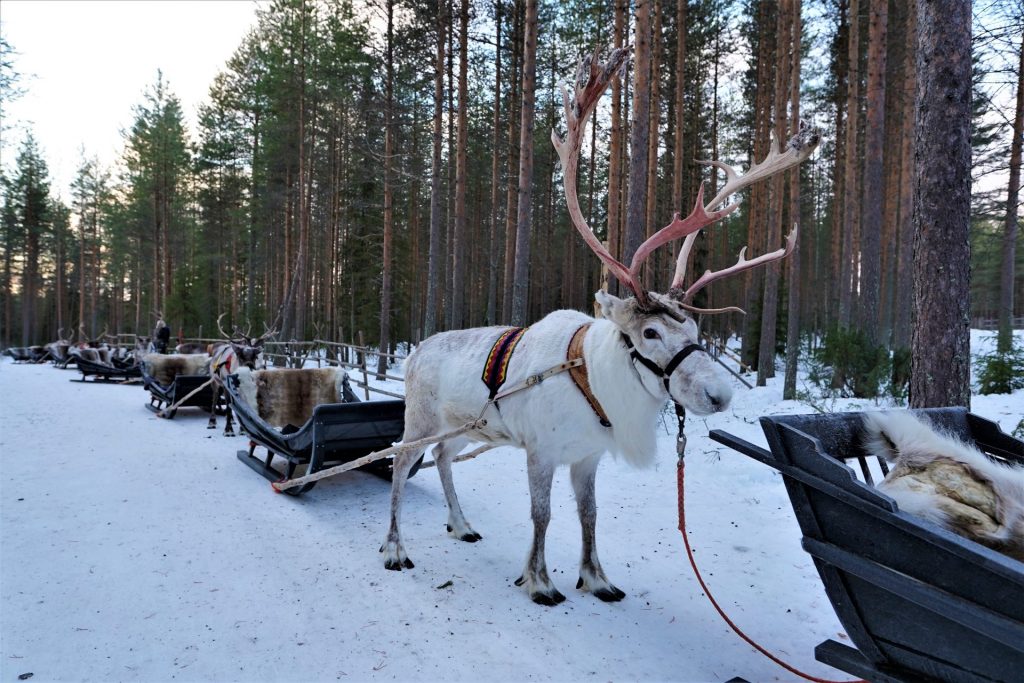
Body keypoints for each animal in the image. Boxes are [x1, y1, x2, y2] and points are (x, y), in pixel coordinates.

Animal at [382, 48, 819, 605]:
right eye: (651, 334)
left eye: (696, 335)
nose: (720, 395)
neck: (591, 382)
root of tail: (415, 351)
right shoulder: (541, 451)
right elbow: (542, 515)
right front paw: (540, 580)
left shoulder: (587, 457)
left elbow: (589, 515)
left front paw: (596, 578)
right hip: (419, 418)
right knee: (400, 462)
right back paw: (395, 548)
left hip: (464, 427)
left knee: (441, 457)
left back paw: (461, 525)